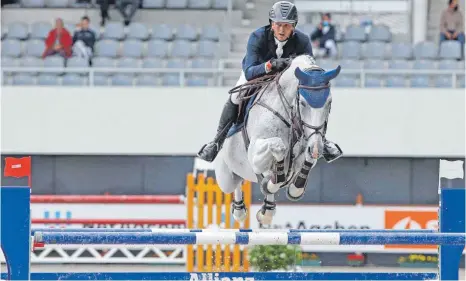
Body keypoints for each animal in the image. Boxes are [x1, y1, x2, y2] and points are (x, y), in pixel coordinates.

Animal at [213, 54, 340, 224]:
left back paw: (267, 210)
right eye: (302, 103)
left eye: (329, 102)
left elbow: (305, 162)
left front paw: (294, 189)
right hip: (225, 176)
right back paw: (239, 210)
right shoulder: (254, 154)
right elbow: (279, 147)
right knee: (235, 182)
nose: (316, 148)